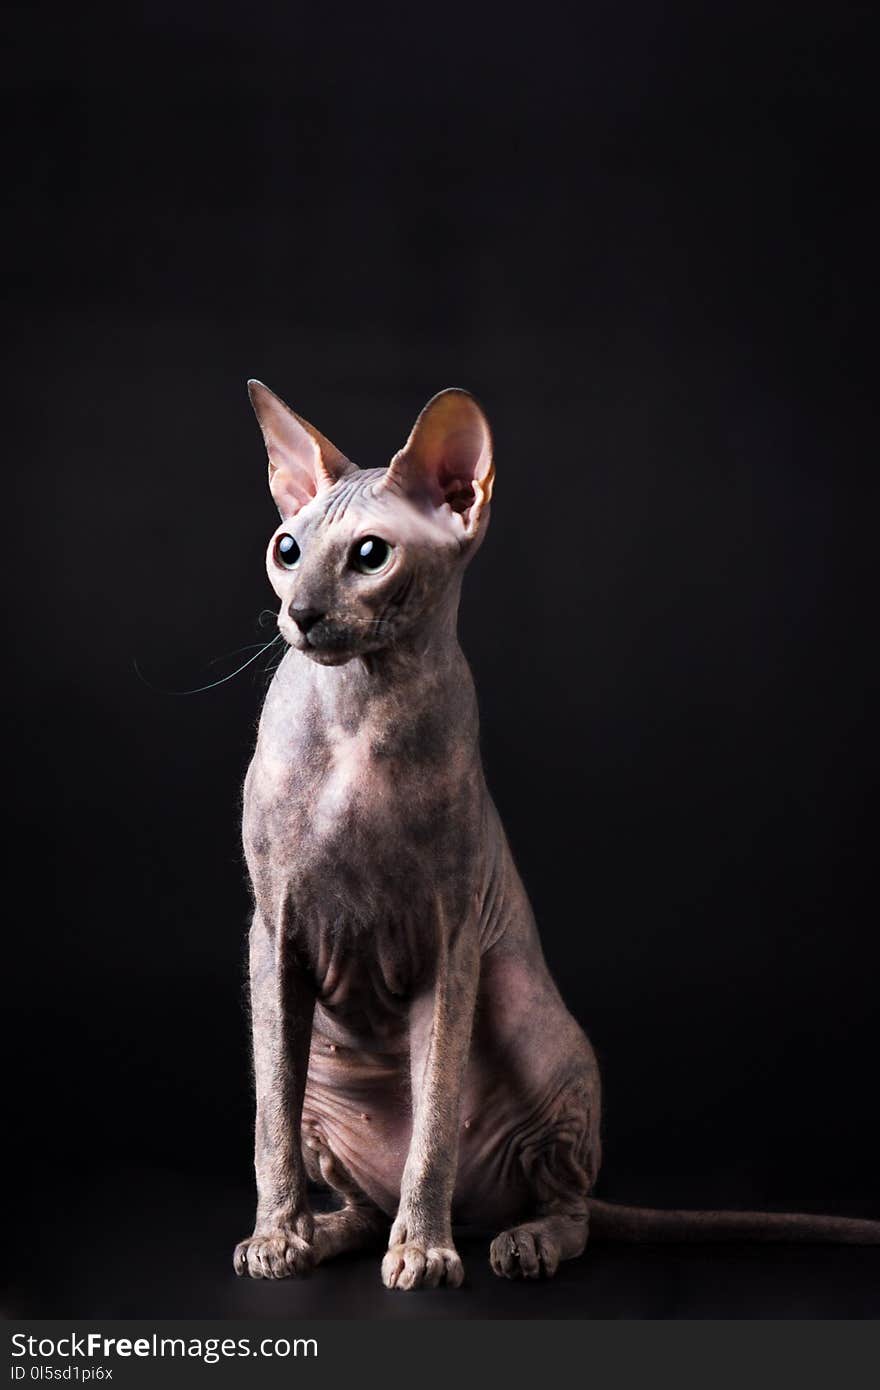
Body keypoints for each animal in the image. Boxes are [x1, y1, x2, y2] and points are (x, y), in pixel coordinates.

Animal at [233, 383, 878, 1289]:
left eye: (371, 555)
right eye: (287, 549)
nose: (301, 613)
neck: (360, 710)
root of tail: (483, 1209)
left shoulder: (451, 941)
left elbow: (434, 1120)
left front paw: (424, 1249)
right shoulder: (274, 930)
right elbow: (271, 1122)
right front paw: (277, 1236)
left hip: (530, 1027)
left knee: (566, 1204)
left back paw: (517, 1240)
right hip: (335, 1078)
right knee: (358, 1196)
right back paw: (332, 1231)